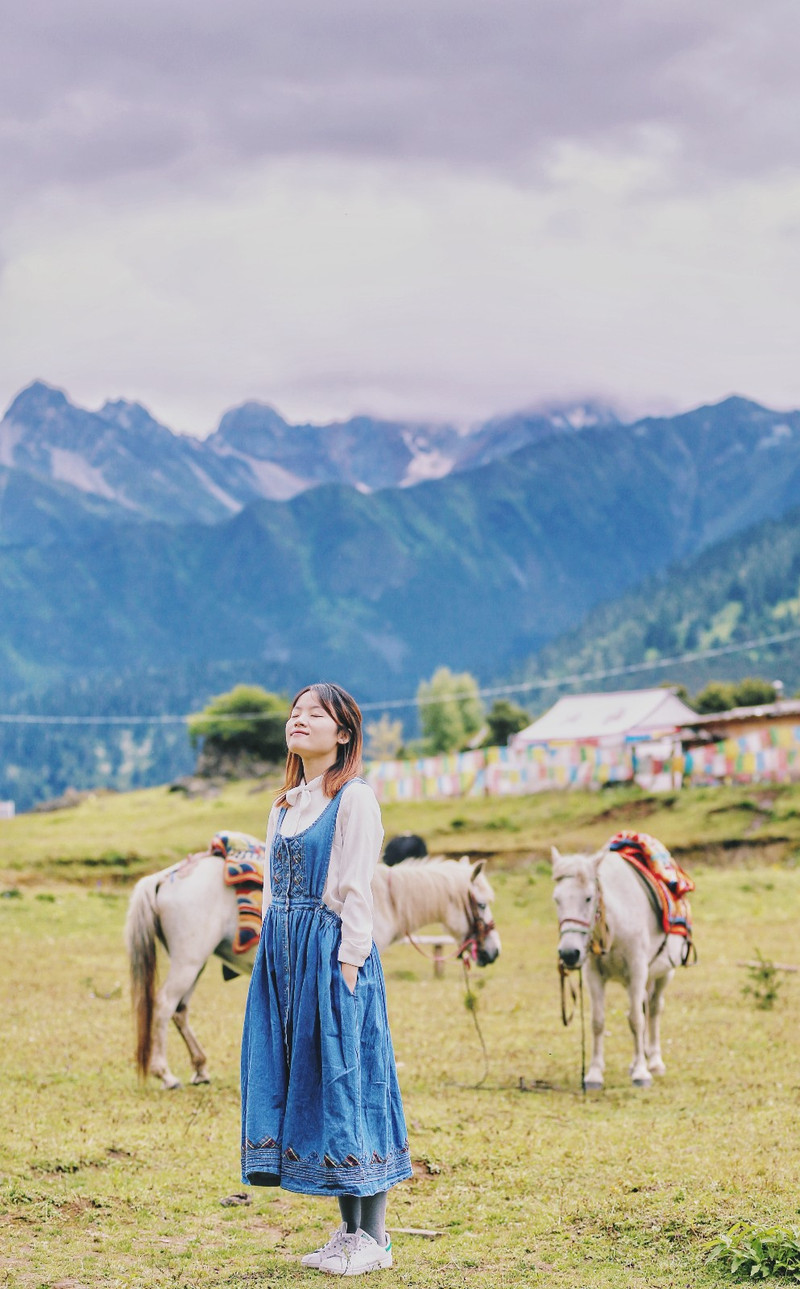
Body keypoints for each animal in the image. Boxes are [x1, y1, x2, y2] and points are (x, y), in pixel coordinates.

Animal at [124, 835, 499, 1087]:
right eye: (481, 904)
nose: (493, 952)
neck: (384, 899)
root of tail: (165, 877)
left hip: (196, 961)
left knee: (179, 1010)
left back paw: (200, 1068)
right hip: (189, 960)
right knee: (164, 1005)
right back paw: (165, 1074)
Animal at [548, 835, 690, 1087]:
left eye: (588, 898)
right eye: (557, 900)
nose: (569, 953)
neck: (614, 922)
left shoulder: (637, 970)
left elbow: (636, 1020)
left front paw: (641, 1074)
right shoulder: (593, 974)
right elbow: (598, 1022)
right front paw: (594, 1074)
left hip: (664, 974)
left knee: (654, 1010)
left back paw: (654, 1061)